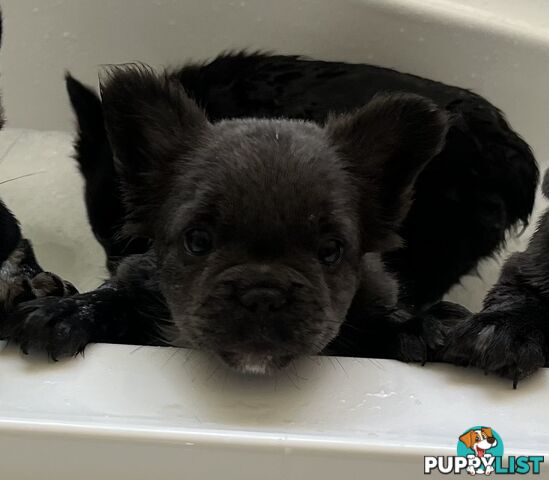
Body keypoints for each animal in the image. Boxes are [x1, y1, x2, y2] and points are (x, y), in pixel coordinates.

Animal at [3, 64, 458, 372]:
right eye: (197, 241)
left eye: (331, 251)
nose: (263, 292)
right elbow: (117, 297)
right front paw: (67, 311)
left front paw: (412, 326)